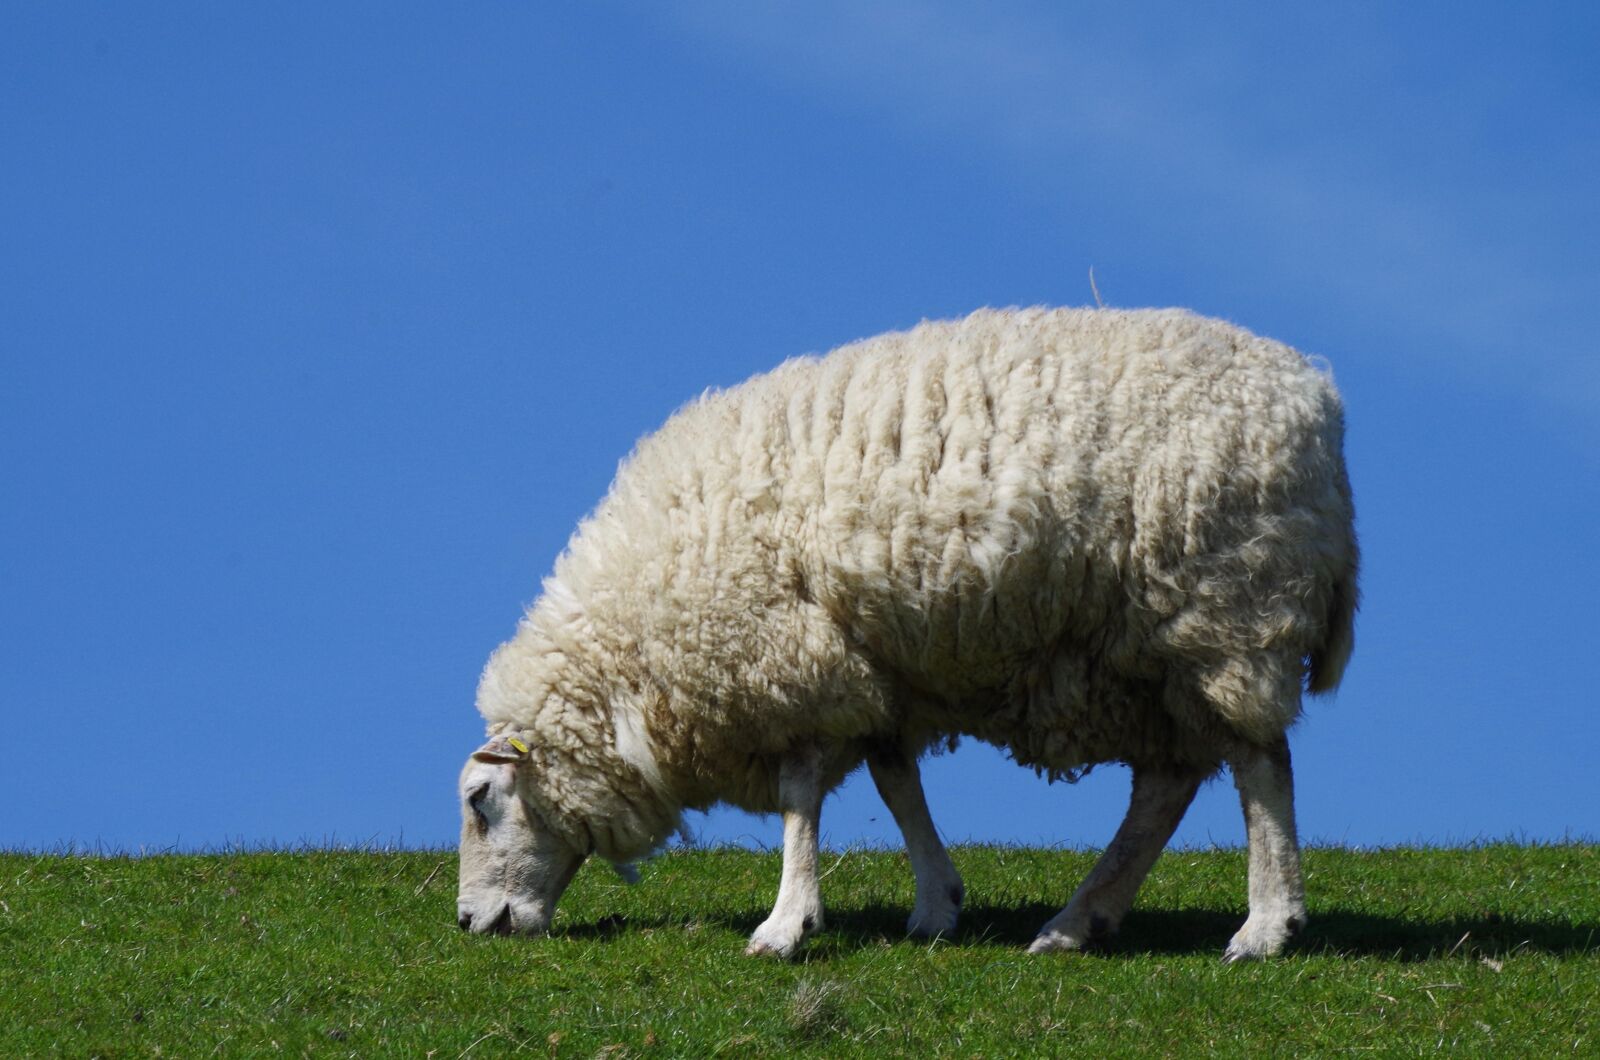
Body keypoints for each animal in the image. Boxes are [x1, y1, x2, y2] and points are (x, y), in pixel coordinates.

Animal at [456, 306, 1358, 961]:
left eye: (479, 801)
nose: (468, 923)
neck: (633, 660)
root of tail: (1314, 395)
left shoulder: (794, 658)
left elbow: (801, 797)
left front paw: (787, 923)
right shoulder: (871, 669)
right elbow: (895, 782)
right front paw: (935, 902)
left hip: (1228, 613)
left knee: (1260, 765)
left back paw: (1267, 926)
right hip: (1141, 657)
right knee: (1168, 785)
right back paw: (1079, 922)